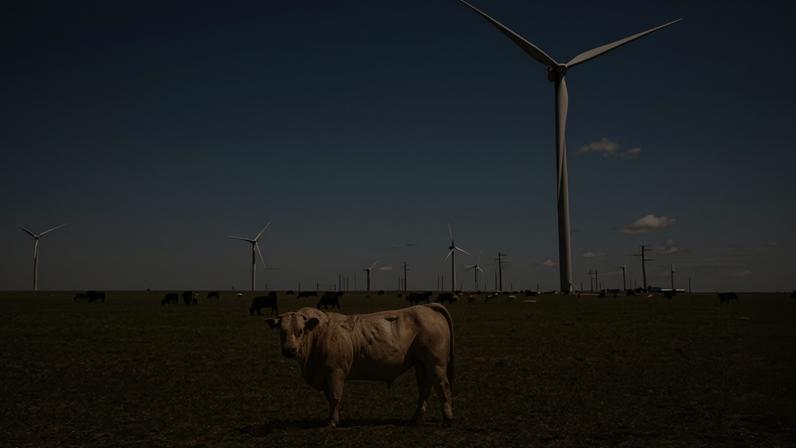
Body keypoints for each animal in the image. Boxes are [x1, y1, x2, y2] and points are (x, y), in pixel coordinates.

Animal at [265, 304, 454, 428]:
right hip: (422, 364)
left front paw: (332, 422)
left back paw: (448, 419)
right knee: (424, 388)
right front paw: (331, 418)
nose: (289, 350)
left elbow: (335, 397)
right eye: (281, 331)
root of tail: (426, 307)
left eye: (300, 331)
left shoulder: (335, 372)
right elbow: (329, 398)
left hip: (436, 363)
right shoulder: (325, 376)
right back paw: (415, 419)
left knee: (442, 386)